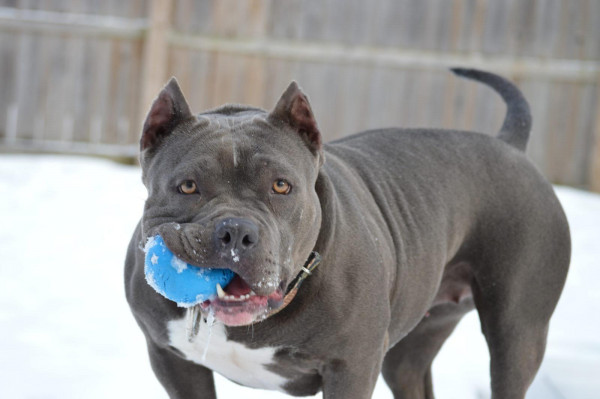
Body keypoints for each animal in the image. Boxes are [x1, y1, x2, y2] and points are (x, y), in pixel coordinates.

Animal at [124, 69, 568, 399]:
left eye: (281, 186)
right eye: (187, 186)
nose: (236, 231)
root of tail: (510, 146)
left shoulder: (352, 366)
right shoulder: (172, 361)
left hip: (518, 334)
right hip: (412, 349)